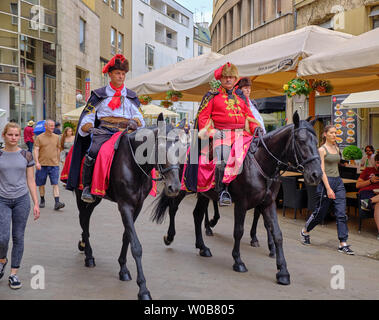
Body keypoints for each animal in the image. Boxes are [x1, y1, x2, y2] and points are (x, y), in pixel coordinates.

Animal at [74, 115, 186, 300]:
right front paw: (143, 289)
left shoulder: (137, 206)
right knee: (83, 220)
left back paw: (84, 245)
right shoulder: (125, 205)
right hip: (81, 195)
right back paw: (89, 255)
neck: (134, 165)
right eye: (162, 147)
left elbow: (127, 237)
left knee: (85, 220)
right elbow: (136, 246)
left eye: (182, 150)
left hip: (96, 199)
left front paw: (123, 269)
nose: (174, 187)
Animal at [153, 112, 322, 284]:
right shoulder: (242, 203)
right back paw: (170, 236)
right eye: (301, 141)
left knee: (197, 215)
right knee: (173, 208)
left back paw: (202, 247)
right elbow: (239, 231)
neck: (260, 162)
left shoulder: (268, 203)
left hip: (204, 193)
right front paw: (238, 261)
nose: (317, 174)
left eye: (316, 142)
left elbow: (277, 233)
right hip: (180, 188)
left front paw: (282, 271)